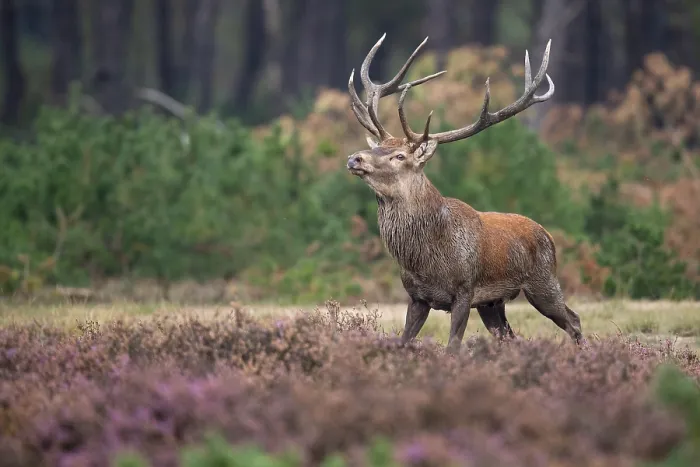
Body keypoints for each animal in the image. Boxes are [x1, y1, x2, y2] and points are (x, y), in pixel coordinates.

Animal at [345, 34, 583, 352]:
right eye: (377, 148)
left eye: (399, 156)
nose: (355, 158)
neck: (426, 256)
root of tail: (548, 235)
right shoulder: (417, 296)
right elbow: (404, 341)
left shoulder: (465, 290)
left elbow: (452, 347)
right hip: (493, 303)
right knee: (509, 335)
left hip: (543, 282)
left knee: (573, 320)